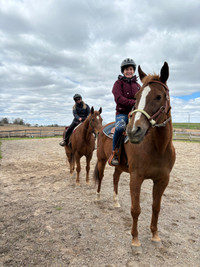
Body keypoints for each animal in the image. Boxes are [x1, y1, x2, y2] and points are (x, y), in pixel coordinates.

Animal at [94, 62, 175, 253]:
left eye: (159, 96)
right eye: (137, 97)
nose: (133, 131)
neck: (158, 147)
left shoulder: (162, 180)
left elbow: (156, 207)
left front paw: (155, 236)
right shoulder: (136, 178)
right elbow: (136, 209)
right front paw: (135, 241)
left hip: (119, 166)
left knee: (115, 178)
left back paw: (116, 202)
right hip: (101, 160)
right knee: (101, 177)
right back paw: (98, 197)